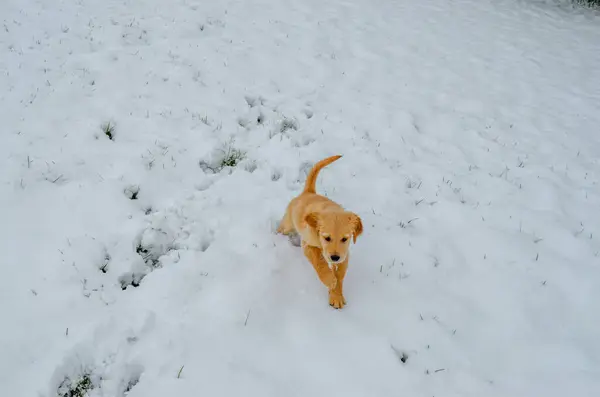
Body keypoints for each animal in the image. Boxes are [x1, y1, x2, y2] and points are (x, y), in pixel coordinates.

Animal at [278, 153, 366, 308]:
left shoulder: (344, 253)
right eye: (327, 238)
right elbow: (319, 263)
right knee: (282, 227)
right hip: (288, 224)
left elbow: (340, 274)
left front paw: (336, 294)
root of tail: (308, 192)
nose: (334, 257)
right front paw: (330, 280)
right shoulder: (308, 244)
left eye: (345, 238)